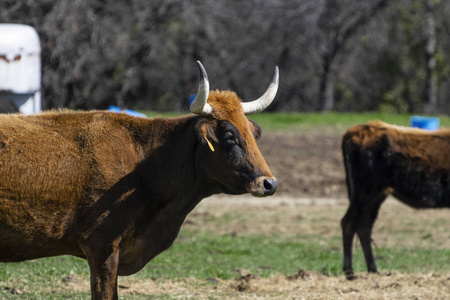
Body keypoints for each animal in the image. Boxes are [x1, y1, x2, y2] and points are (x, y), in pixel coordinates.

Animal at [342, 121, 450, 278]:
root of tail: (359, 129)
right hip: (365, 191)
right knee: (349, 223)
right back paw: (349, 272)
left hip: (376, 195)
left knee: (363, 225)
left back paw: (373, 270)